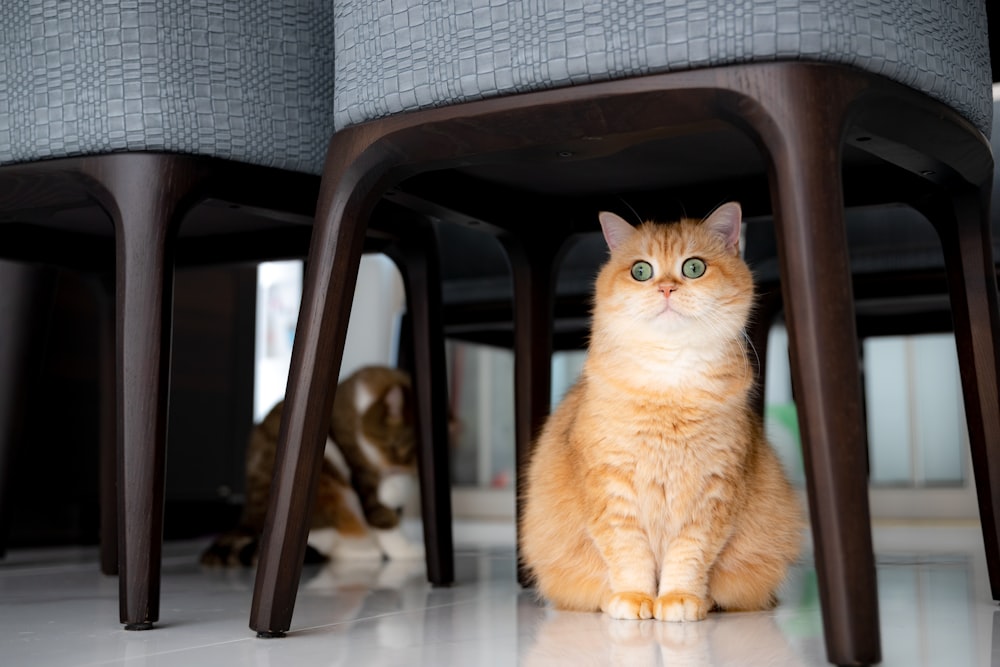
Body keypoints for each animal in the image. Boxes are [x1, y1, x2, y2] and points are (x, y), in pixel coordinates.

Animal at [201, 366, 424, 568]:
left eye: (415, 459)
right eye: (399, 451)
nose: (396, 470)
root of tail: (246, 520)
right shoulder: (358, 469)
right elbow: (381, 515)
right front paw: (405, 550)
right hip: (328, 489)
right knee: (331, 543)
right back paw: (366, 551)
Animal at [520, 202, 800, 620]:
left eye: (693, 267)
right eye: (641, 271)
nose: (666, 287)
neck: (669, 383)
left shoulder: (712, 493)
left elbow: (687, 557)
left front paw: (678, 599)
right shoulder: (612, 489)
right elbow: (628, 555)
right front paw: (635, 598)